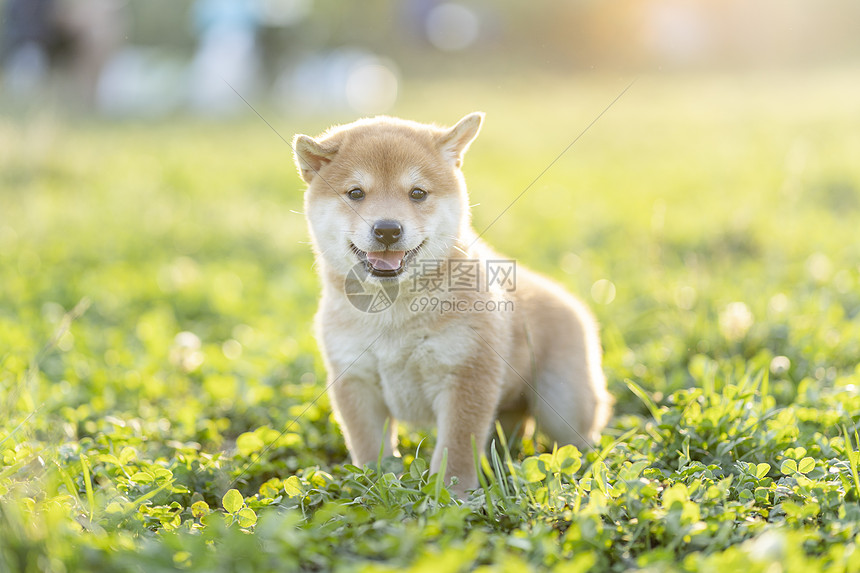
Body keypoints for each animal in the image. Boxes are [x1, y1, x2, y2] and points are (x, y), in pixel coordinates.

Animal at [296, 114, 612, 494]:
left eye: (417, 193)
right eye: (355, 193)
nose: (387, 229)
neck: (395, 315)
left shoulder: (467, 373)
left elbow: (458, 446)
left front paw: (453, 492)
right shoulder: (355, 381)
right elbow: (369, 447)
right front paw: (374, 486)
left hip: (564, 404)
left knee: (578, 439)